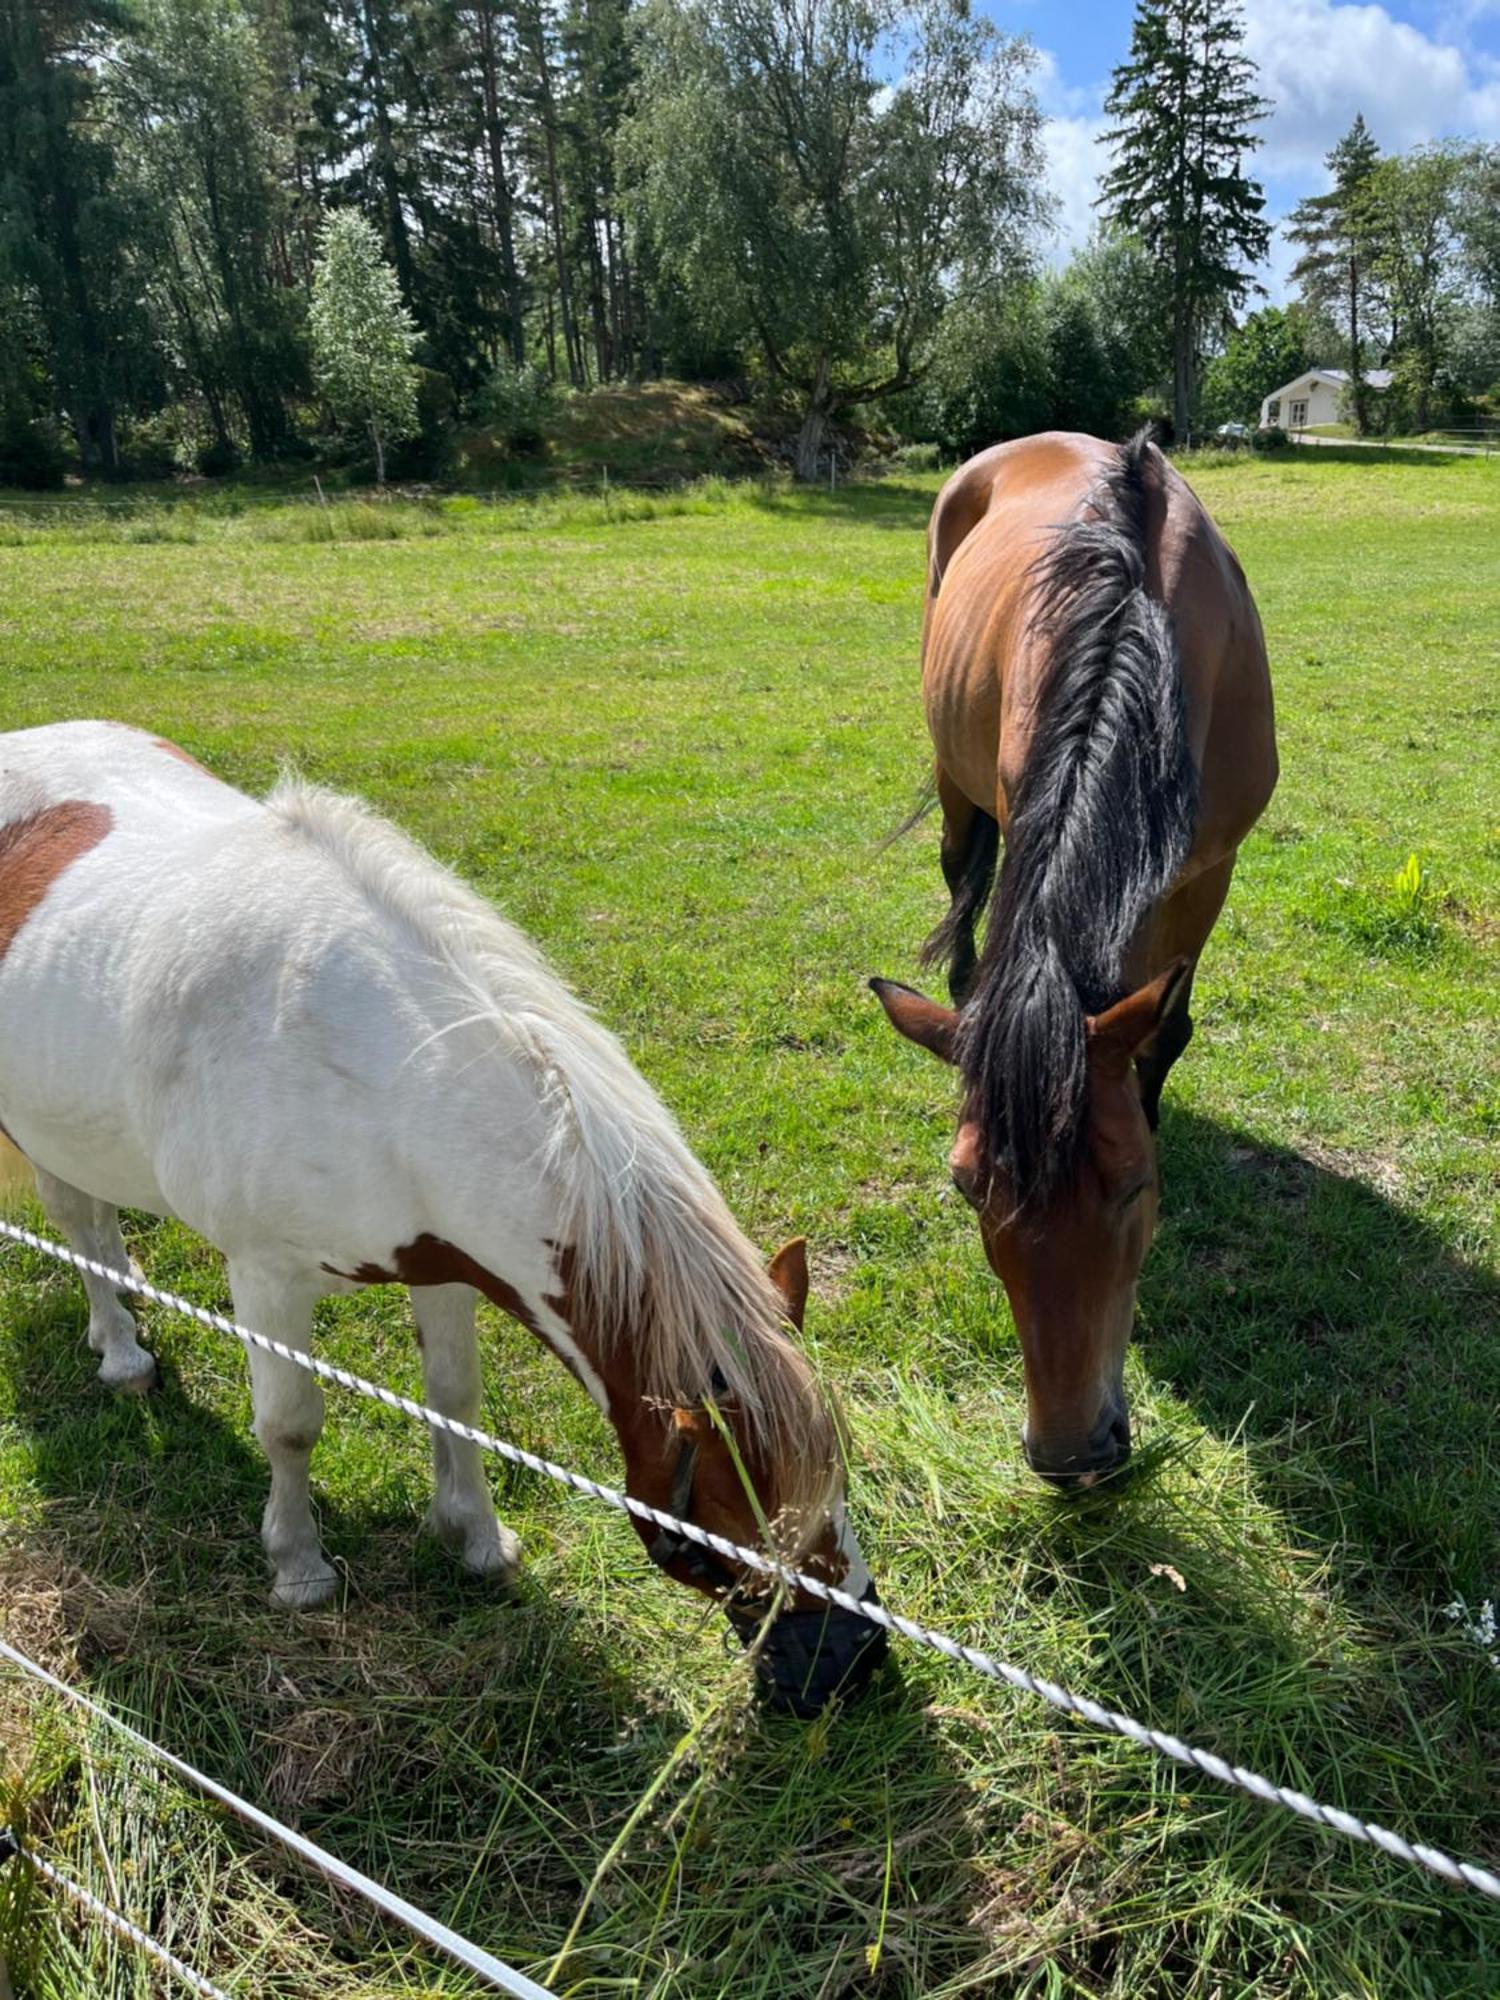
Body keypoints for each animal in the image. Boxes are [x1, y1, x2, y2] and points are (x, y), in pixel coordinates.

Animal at [0, 724, 888, 1720]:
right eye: (712, 1534)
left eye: (840, 1484)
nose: (854, 1666)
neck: (358, 1067)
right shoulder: (267, 1278)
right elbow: (289, 1424)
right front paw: (300, 1568)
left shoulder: (449, 1266)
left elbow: (456, 1400)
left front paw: (476, 1540)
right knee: (77, 1221)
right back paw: (120, 1350)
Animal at [868, 434, 1280, 1488]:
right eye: (966, 1186)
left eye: (1135, 1187)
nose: (1071, 1456)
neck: (1144, 632)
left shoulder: (1210, 876)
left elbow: (1168, 1028)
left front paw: (1156, 1102)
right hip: (956, 782)